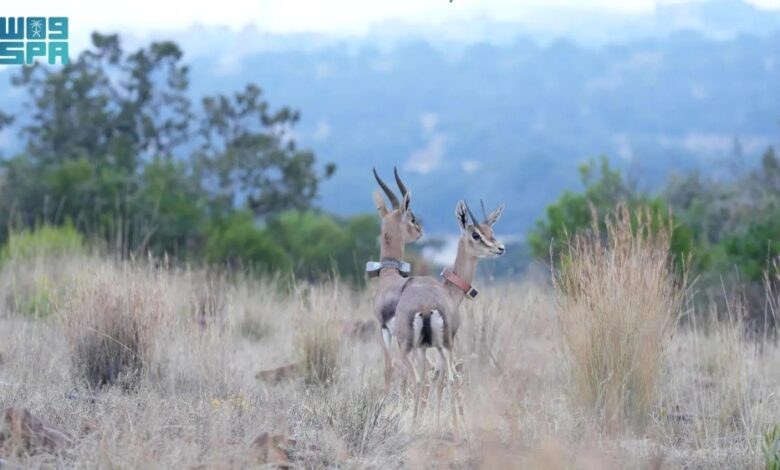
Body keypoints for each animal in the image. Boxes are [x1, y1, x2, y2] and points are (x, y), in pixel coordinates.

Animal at [394, 200, 505, 430]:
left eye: (491, 231)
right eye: (475, 234)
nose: (500, 248)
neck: (449, 291)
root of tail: (425, 306)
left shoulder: (423, 348)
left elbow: (432, 380)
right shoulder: (446, 343)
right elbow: (442, 382)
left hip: (408, 349)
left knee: (419, 381)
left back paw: (414, 426)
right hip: (445, 347)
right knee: (449, 380)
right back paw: (454, 428)